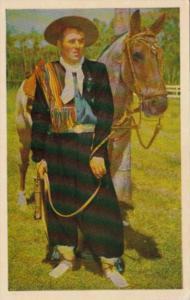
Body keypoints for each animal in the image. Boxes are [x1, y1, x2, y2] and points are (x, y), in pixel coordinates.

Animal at [16, 10, 168, 216]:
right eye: (137, 55)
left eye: (160, 54)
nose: (159, 104)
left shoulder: (115, 153)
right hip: (24, 135)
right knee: (23, 164)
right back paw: (22, 199)